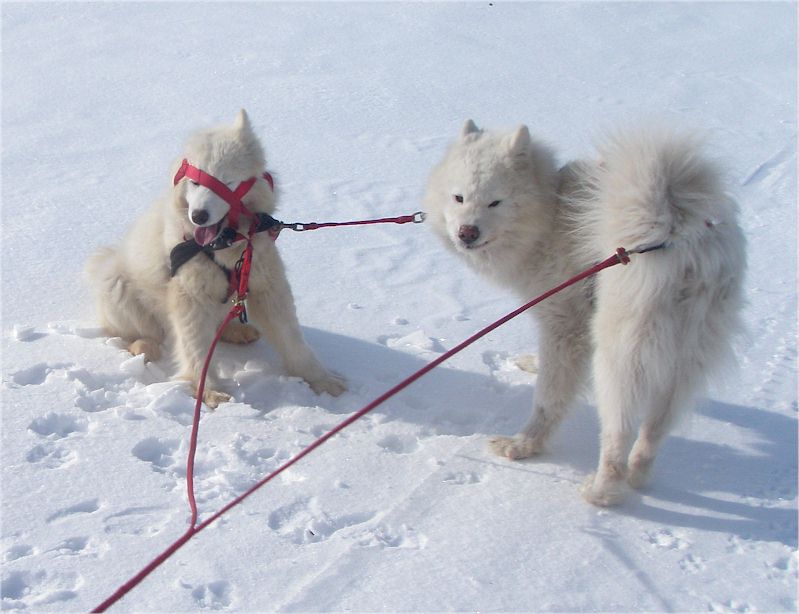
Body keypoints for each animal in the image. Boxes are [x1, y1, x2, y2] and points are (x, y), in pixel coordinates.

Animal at [86, 110, 346, 407]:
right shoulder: (190, 297)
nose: (198, 216)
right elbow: (196, 348)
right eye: (195, 181)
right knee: (139, 332)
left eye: (228, 181)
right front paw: (207, 391)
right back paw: (143, 346)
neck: (226, 243)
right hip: (116, 286)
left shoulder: (267, 285)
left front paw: (321, 379)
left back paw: (236, 330)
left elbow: (292, 340)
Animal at [424, 120, 745, 505]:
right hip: (683, 357)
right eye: (458, 197)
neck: (551, 209)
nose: (467, 232)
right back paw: (638, 475)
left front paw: (526, 445)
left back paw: (600, 491)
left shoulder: (565, 322)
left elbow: (550, 396)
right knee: (654, 429)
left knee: (618, 431)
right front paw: (533, 363)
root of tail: (682, 236)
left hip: (619, 355)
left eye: (495, 201)